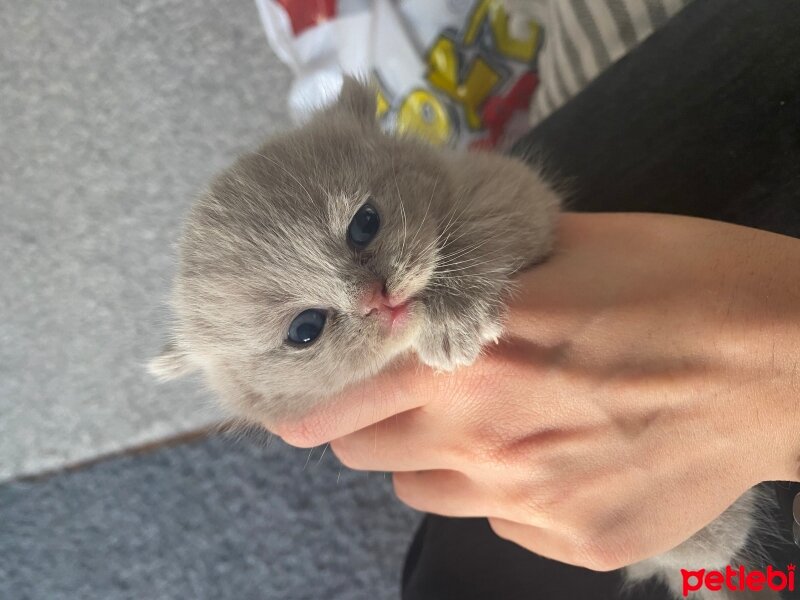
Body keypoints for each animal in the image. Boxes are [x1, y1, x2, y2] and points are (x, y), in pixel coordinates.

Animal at [150, 79, 776, 600]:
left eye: (365, 224)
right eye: (305, 331)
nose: (378, 299)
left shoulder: (513, 190)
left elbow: (473, 235)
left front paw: (454, 318)